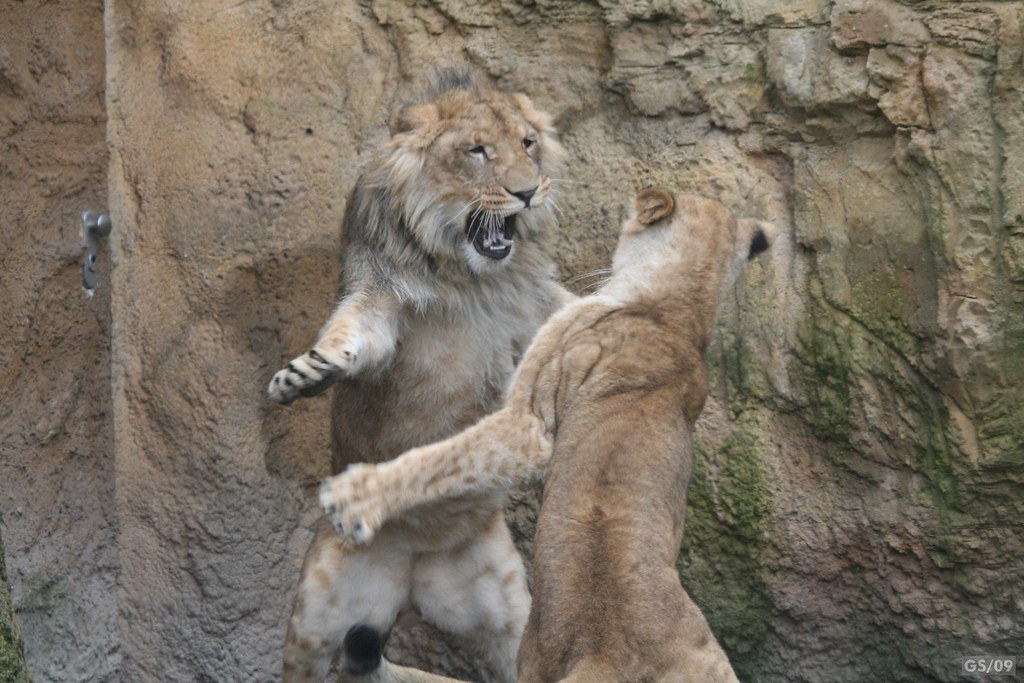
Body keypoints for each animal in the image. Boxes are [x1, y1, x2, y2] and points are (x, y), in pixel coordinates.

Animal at [268, 70, 574, 682]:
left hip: (512, 620)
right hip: (313, 624)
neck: (470, 277)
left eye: (528, 143)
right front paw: (310, 372)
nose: (529, 191)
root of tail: (414, 571)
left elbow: (577, 309)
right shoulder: (376, 290)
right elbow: (352, 334)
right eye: (477, 151)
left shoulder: (534, 303)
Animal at [318, 189, 777, 682]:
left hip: (532, 657)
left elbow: (448, 457)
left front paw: (352, 495)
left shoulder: (531, 422)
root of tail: (604, 656)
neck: (678, 316)